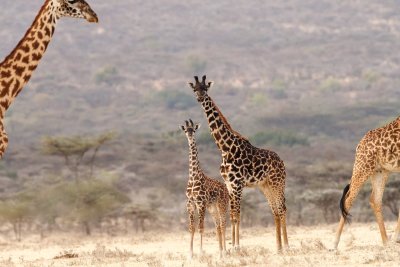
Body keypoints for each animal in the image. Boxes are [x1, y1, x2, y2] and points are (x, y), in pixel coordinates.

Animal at [180, 120, 228, 260]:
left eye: (194, 130)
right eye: (186, 130)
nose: (190, 136)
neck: (193, 177)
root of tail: (226, 189)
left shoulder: (201, 204)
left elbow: (201, 227)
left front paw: (201, 252)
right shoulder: (190, 204)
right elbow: (192, 228)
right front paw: (190, 253)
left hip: (222, 205)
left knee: (223, 224)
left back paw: (225, 252)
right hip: (213, 208)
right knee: (218, 226)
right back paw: (220, 252)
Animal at [188, 76, 288, 252]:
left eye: (205, 89)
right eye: (195, 89)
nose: (200, 98)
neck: (225, 148)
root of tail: (282, 162)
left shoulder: (238, 184)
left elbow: (237, 216)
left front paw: (236, 246)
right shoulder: (229, 184)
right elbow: (233, 215)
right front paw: (233, 246)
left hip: (278, 184)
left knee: (282, 208)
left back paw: (287, 246)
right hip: (266, 186)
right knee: (275, 210)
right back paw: (278, 247)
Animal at [332, 116, 400, 250]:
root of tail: (359, 145)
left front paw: (396, 239)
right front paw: (396, 238)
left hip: (380, 171)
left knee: (375, 199)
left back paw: (386, 242)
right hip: (363, 166)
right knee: (348, 199)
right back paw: (334, 243)